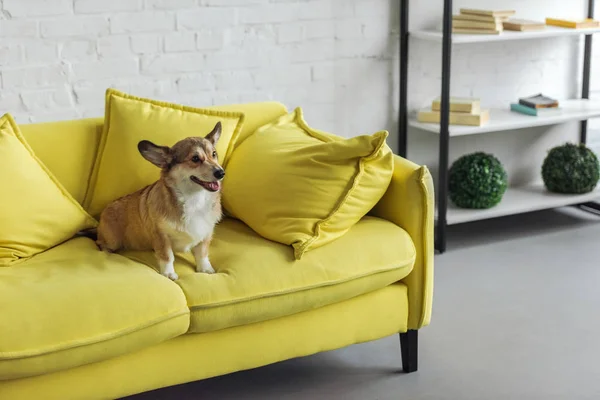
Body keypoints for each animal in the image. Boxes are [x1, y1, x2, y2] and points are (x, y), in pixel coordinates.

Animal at [96, 122, 225, 282]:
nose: (221, 173)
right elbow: (167, 256)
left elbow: (202, 253)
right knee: (100, 243)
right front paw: (168, 273)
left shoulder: (206, 234)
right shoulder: (161, 236)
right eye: (195, 158)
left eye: (214, 154)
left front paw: (205, 269)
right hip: (112, 240)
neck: (194, 200)